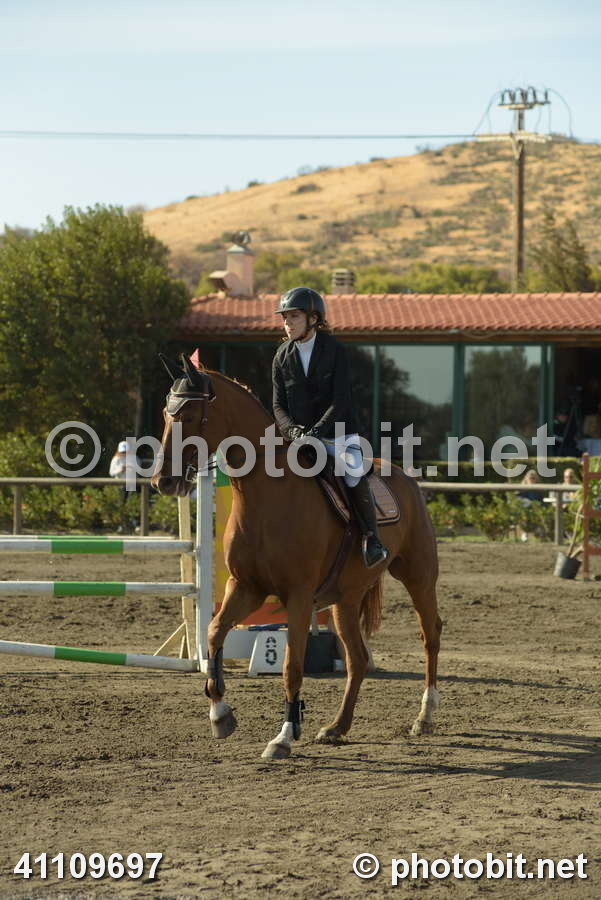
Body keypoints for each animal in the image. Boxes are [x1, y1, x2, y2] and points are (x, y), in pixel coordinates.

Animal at [152, 355, 442, 760]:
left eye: (191, 415)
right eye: (166, 413)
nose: (164, 481)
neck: (265, 494)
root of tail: (405, 477)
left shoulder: (300, 596)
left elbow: (292, 665)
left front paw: (284, 736)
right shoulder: (246, 588)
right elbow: (213, 633)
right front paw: (220, 713)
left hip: (418, 576)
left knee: (430, 635)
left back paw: (425, 716)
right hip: (344, 600)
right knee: (357, 659)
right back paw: (337, 727)